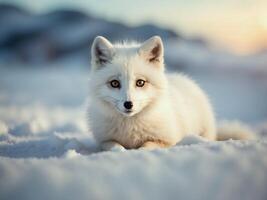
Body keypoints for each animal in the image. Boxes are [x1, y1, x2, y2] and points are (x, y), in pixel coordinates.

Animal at [88, 35, 255, 151]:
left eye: (140, 82)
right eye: (115, 83)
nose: (128, 104)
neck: (130, 127)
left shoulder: (168, 139)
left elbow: (146, 145)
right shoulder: (103, 140)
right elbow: (114, 146)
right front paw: (121, 150)